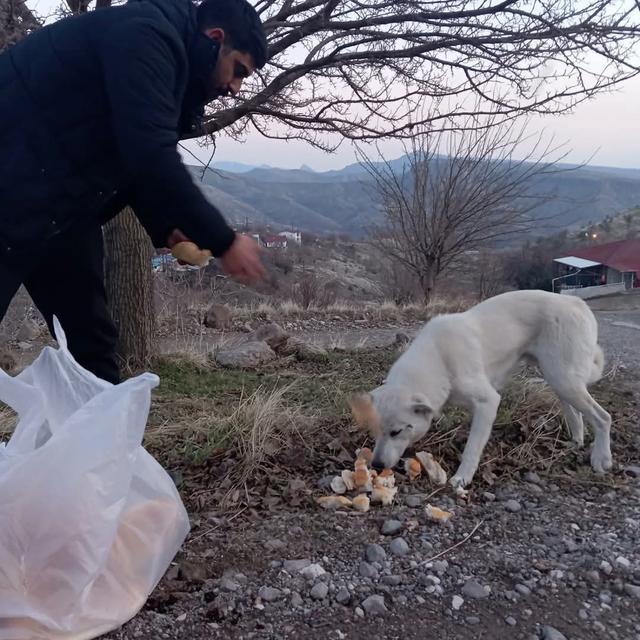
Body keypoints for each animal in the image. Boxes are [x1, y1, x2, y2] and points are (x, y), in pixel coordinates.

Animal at [352, 290, 612, 490]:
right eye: (375, 431)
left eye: (396, 432)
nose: (376, 465)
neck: (439, 359)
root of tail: (576, 302)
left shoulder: (488, 402)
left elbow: (472, 448)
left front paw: (462, 478)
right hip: (558, 379)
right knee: (576, 414)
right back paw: (575, 443)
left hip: (564, 380)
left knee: (603, 418)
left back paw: (601, 459)